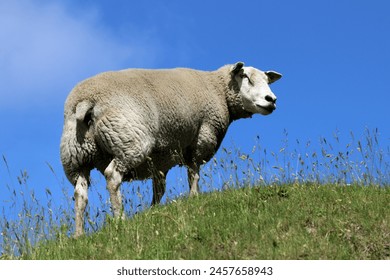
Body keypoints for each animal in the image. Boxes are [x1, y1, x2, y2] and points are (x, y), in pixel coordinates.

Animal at [59, 61, 282, 236]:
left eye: (266, 80)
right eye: (245, 77)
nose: (271, 100)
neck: (218, 89)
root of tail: (86, 101)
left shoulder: (161, 160)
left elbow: (159, 189)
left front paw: (153, 211)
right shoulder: (201, 137)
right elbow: (194, 173)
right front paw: (194, 197)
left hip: (76, 156)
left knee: (80, 192)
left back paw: (78, 234)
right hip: (128, 141)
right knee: (112, 176)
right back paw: (120, 219)